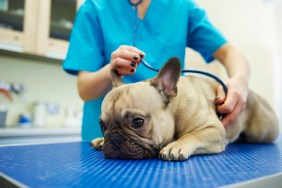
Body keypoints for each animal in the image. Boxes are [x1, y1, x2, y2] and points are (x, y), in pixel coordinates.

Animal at [91, 57, 280, 160]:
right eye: (102, 126)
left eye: (137, 122)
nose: (114, 139)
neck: (174, 113)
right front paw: (101, 140)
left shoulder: (214, 128)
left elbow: (193, 134)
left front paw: (175, 146)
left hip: (262, 132)